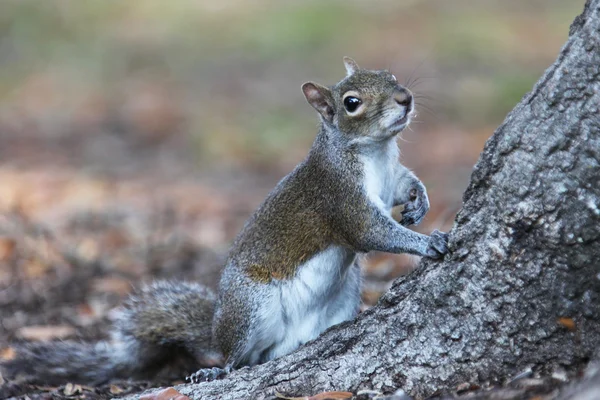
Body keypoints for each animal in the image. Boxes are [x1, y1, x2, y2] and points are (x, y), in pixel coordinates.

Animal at [0, 56, 448, 384]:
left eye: (390, 74)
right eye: (351, 103)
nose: (405, 98)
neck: (374, 152)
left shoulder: (390, 177)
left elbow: (405, 186)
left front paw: (419, 203)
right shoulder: (338, 197)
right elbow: (370, 232)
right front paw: (427, 241)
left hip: (345, 292)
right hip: (249, 306)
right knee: (236, 356)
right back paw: (216, 369)